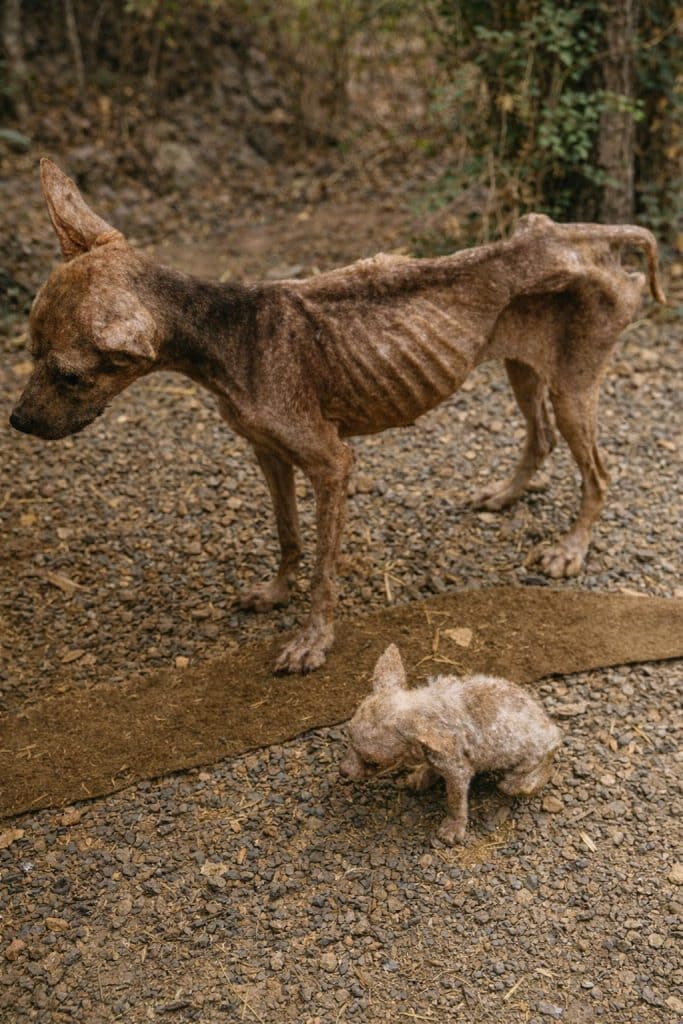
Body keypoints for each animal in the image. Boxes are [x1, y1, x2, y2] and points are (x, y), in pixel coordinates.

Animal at [10, 159, 665, 673]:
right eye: (30, 352)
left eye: (69, 374)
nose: (16, 422)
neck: (226, 334)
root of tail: (583, 239)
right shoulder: (267, 452)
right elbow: (288, 536)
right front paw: (277, 591)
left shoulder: (332, 465)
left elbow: (325, 568)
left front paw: (313, 640)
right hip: (522, 364)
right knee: (541, 438)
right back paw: (505, 494)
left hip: (573, 387)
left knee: (599, 473)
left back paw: (571, 549)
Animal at [340, 644, 562, 844]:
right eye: (348, 737)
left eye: (373, 763)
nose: (343, 772)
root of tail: (553, 731)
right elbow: (430, 767)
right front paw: (421, 777)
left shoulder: (458, 770)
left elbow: (456, 802)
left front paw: (453, 827)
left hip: (521, 775)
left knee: (537, 774)